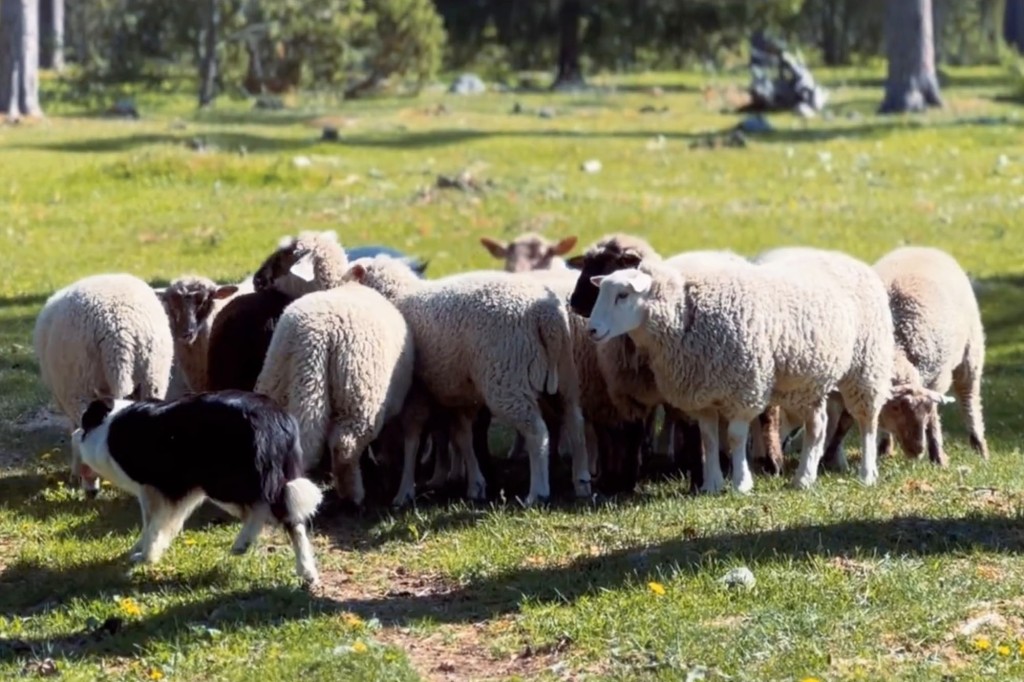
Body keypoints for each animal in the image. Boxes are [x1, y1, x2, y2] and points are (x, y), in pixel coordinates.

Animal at [72, 390, 322, 587]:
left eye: (84, 420)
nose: (75, 434)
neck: (108, 423)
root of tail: (275, 417)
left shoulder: (157, 488)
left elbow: (153, 524)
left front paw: (145, 556)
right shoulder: (183, 491)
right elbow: (160, 523)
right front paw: (141, 549)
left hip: (224, 482)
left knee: (263, 508)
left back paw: (245, 543)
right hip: (277, 477)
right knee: (290, 519)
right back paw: (305, 571)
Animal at [341, 254, 590, 506]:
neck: (398, 296)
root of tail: (546, 316)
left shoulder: (416, 392)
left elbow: (413, 439)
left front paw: (404, 492)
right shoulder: (458, 393)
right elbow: (463, 437)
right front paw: (475, 485)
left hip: (507, 381)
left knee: (537, 432)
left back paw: (537, 492)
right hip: (565, 376)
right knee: (575, 422)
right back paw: (581, 481)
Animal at [585, 248, 896, 494]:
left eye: (623, 295)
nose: (592, 330)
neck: (684, 313)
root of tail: (851, 260)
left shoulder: (744, 387)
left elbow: (735, 437)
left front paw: (741, 483)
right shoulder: (702, 392)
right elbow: (709, 439)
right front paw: (711, 484)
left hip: (866, 366)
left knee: (867, 422)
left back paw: (867, 473)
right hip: (806, 382)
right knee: (817, 426)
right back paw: (804, 478)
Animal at [823, 246, 984, 467]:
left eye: (924, 413)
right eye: (896, 408)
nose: (917, 450)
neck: (897, 349)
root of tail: (924, 248)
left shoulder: (936, 382)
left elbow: (934, 420)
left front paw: (938, 457)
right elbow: (846, 421)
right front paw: (829, 454)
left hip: (971, 353)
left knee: (969, 399)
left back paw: (979, 446)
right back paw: (885, 447)